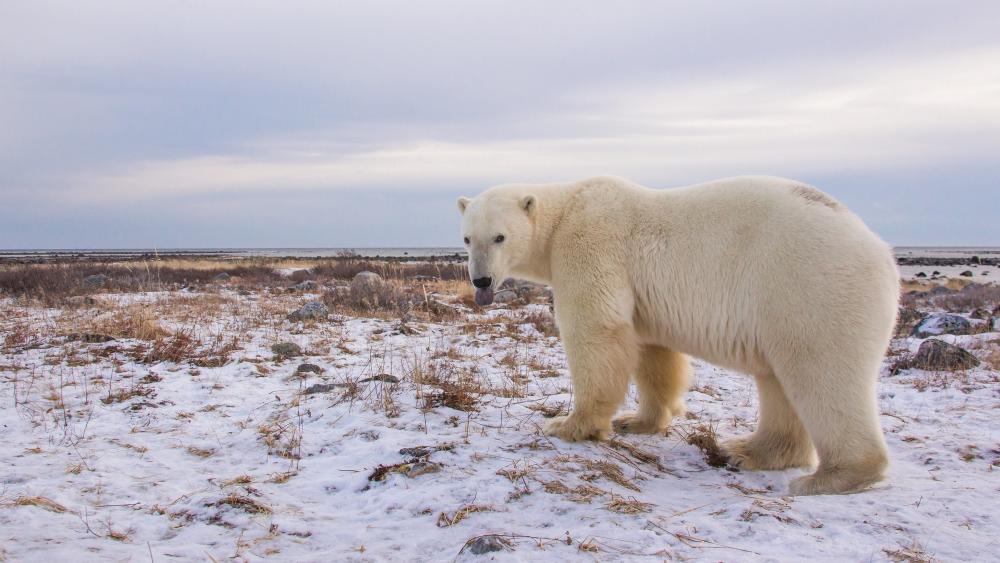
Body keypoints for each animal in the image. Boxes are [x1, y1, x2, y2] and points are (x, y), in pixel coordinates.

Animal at [457, 175, 899, 495]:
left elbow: (597, 330)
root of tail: (883, 253)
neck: (566, 210)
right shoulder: (644, 296)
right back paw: (747, 451)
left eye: (500, 237)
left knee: (821, 374)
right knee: (778, 379)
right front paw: (638, 421)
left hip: (812, 287)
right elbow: (654, 353)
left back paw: (831, 476)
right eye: (467, 238)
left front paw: (570, 425)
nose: (481, 280)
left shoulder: (591, 245)